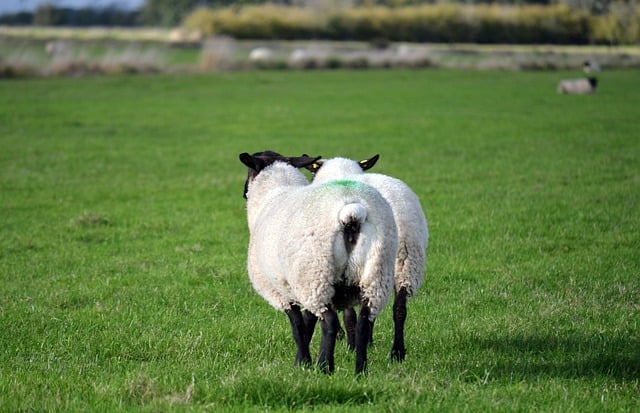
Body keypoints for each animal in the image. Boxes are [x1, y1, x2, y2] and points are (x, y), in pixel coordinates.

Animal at [240, 151, 400, 374]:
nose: (243, 193)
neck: (273, 193)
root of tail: (352, 211)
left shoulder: (282, 289)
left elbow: (298, 326)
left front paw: (302, 362)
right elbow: (308, 322)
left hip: (316, 276)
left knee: (330, 323)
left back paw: (324, 366)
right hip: (376, 273)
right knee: (363, 323)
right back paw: (360, 371)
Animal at [306, 154, 428, 360]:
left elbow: (347, 313)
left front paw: (348, 340)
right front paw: (368, 341)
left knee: (354, 314)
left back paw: (354, 345)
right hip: (406, 262)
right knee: (399, 308)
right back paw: (397, 352)